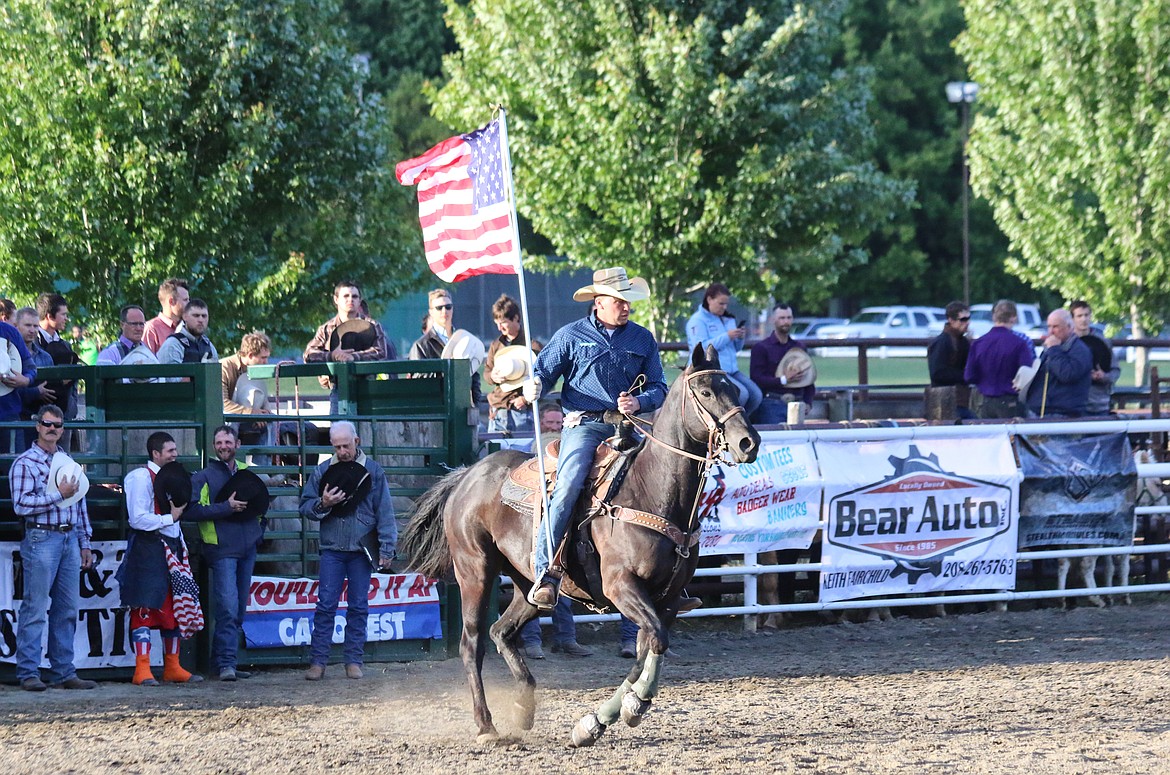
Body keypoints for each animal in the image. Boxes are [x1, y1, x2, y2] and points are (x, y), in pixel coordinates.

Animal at [402, 346, 762, 749]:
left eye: (733, 388)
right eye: (706, 392)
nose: (749, 443)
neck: (651, 489)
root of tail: (468, 475)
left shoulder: (667, 600)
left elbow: (647, 648)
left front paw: (602, 718)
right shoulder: (621, 586)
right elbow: (654, 643)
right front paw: (626, 708)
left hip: (528, 586)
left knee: (501, 631)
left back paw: (524, 708)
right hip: (475, 571)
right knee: (473, 643)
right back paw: (486, 725)